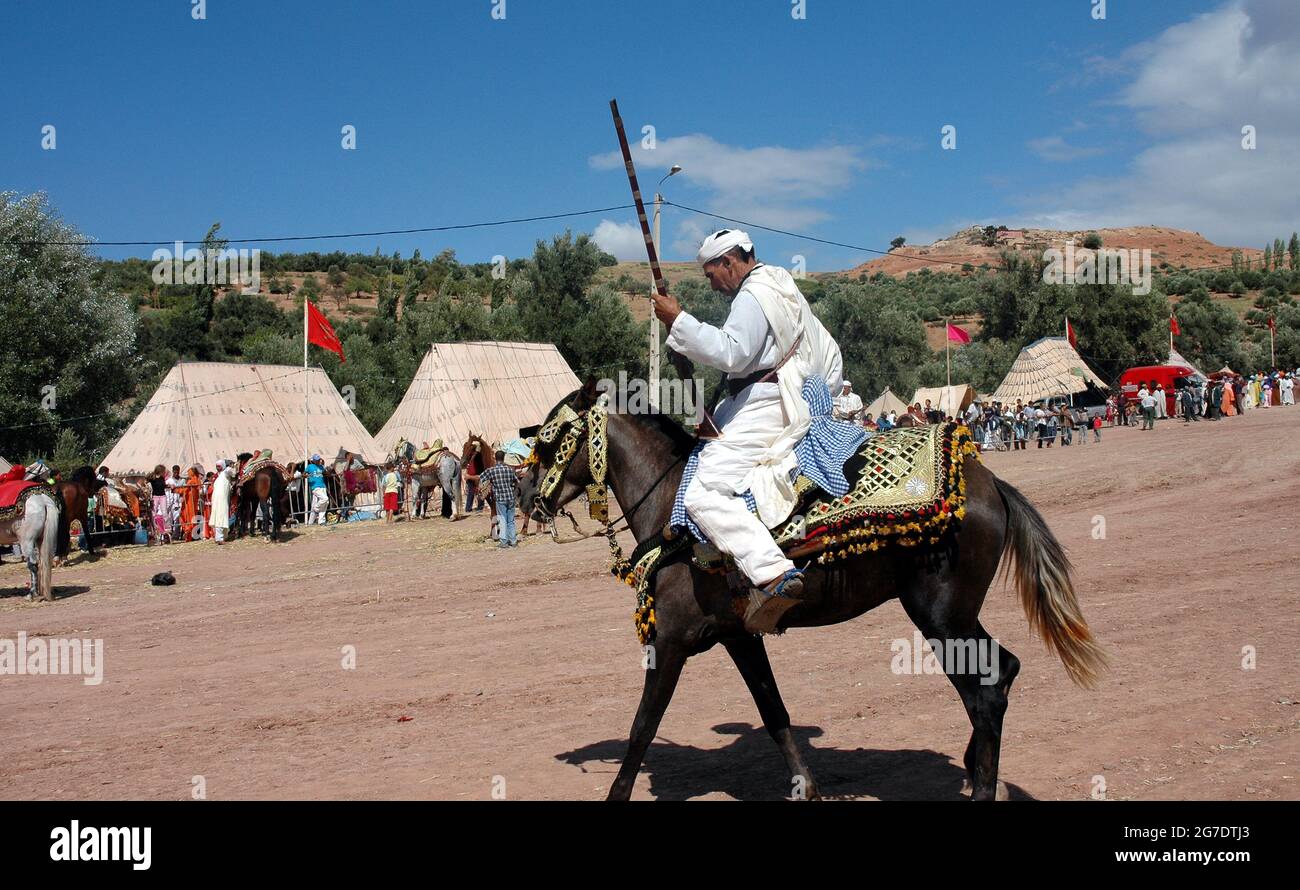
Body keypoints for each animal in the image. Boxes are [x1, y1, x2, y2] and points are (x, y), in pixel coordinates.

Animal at [530, 381, 1107, 800]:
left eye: (549, 441)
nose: (533, 498)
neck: (674, 511)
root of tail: (990, 486)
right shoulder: (740, 637)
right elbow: (773, 711)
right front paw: (804, 785)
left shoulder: (670, 642)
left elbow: (642, 728)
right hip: (954, 618)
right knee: (1002, 673)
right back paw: (972, 769)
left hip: (942, 618)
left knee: (984, 694)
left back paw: (982, 786)